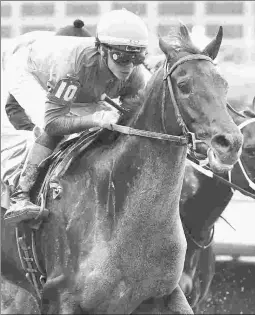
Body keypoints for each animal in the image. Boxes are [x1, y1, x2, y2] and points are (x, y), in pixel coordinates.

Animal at [0, 23, 243, 314]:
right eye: (184, 85)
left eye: (224, 84)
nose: (230, 143)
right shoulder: (59, 296)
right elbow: (54, 119)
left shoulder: (163, 294)